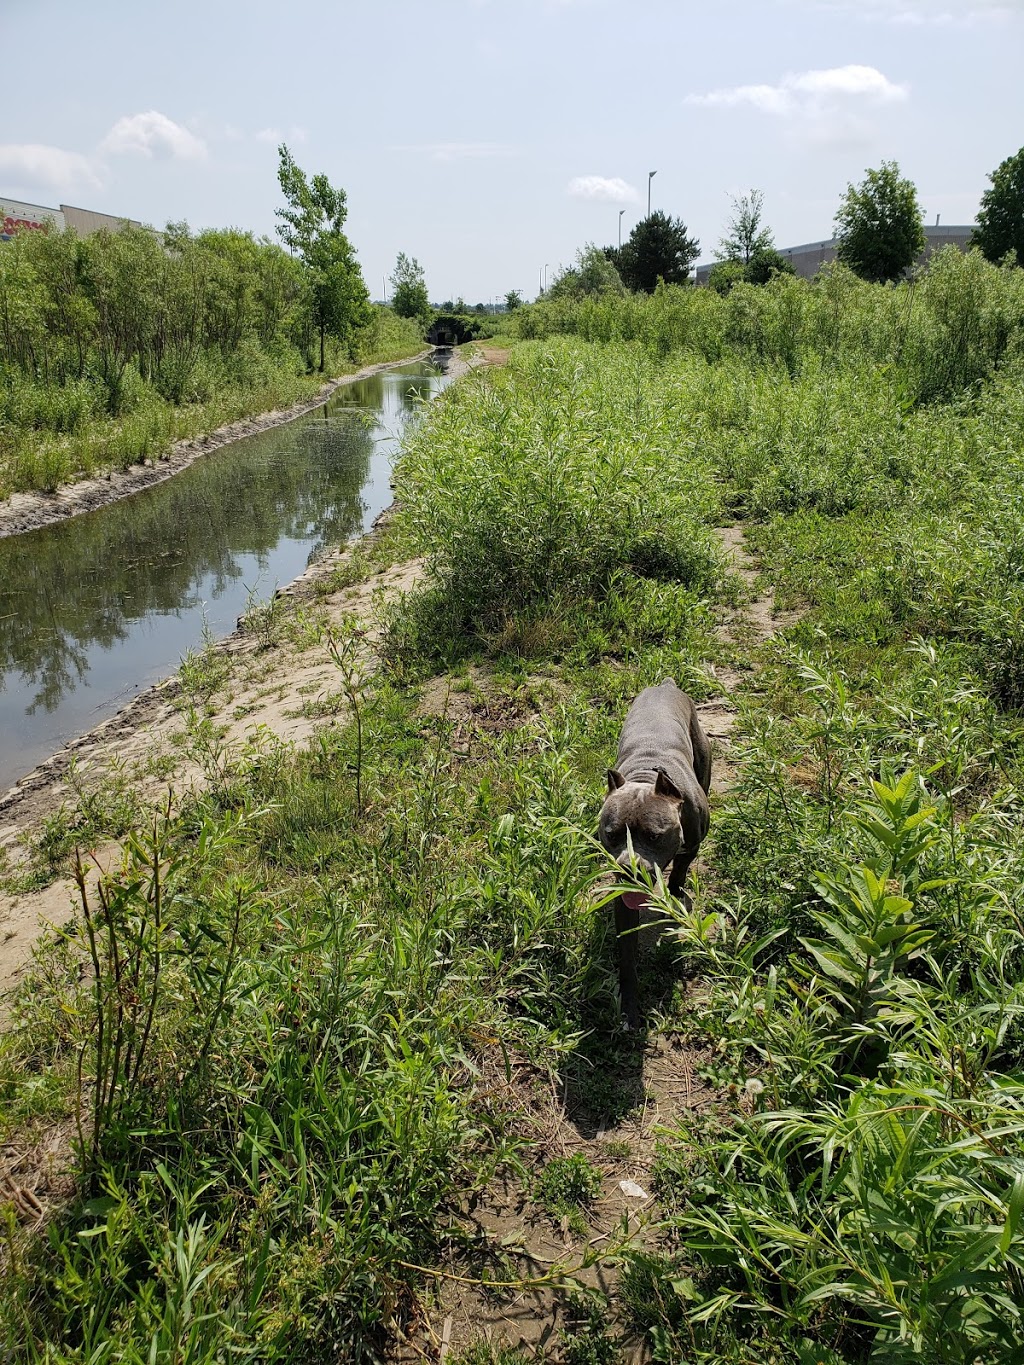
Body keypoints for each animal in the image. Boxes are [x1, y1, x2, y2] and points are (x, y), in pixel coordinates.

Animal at [600, 682, 715, 1026]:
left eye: (654, 836)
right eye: (612, 835)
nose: (629, 869)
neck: (646, 778)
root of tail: (666, 684)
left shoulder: (691, 845)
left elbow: (680, 867)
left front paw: (675, 891)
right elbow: (627, 957)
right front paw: (629, 1007)